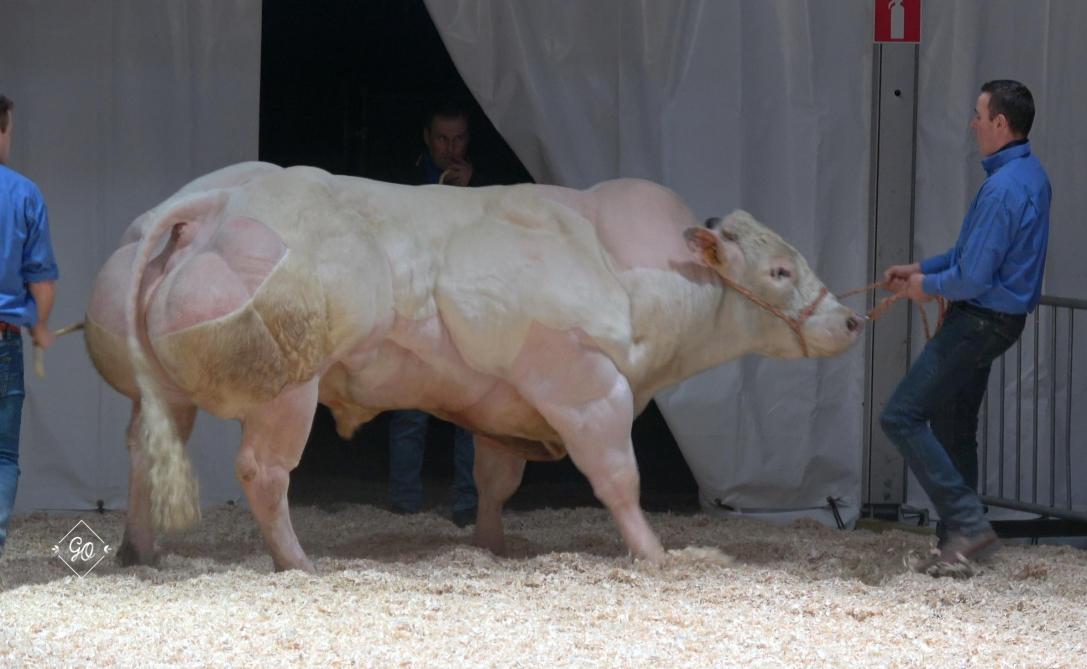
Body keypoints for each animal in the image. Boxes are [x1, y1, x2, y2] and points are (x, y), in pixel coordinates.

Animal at [84, 160, 860, 570]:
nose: (851, 319)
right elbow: (618, 478)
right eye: (780, 270)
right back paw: (297, 562)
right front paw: (652, 553)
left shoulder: (502, 407)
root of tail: (208, 200)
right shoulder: (583, 385)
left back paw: (138, 550)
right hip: (289, 387)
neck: (624, 265)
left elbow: (494, 481)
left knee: (142, 452)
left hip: (160, 391)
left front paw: (492, 546)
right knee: (263, 471)